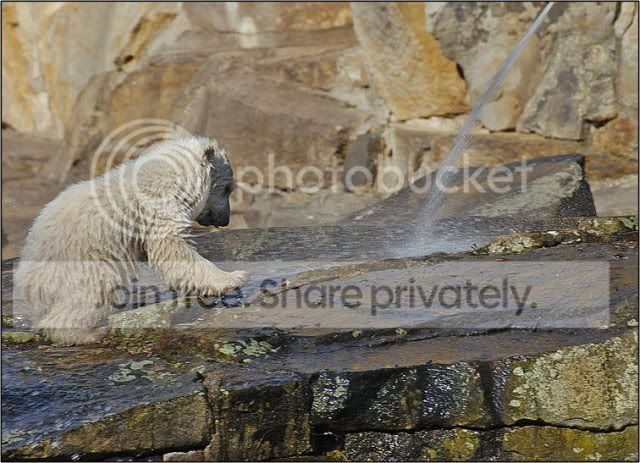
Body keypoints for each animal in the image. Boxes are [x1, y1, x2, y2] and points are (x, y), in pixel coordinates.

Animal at [14, 136, 250, 345]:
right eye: (229, 188)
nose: (225, 220)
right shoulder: (161, 206)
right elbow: (174, 249)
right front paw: (234, 277)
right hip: (77, 263)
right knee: (92, 290)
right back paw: (88, 334)